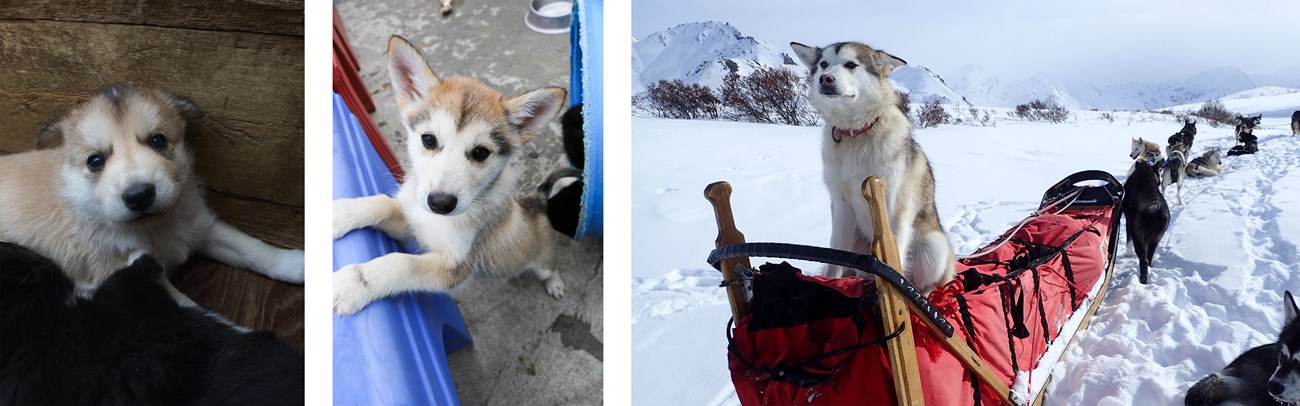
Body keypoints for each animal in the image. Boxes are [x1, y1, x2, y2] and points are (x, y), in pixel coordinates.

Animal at [0, 84, 304, 304]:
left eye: (158, 141)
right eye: (95, 161)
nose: (139, 195)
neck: (154, 228)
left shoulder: (201, 226)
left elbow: (252, 248)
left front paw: (293, 263)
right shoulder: (129, 276)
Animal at [332, 36, 566, 316]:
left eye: (480, 152)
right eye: (428, 139)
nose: (440, 203)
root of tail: (536, 202)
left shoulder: (454, 266)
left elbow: (403, 263)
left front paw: (351, 284)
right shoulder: (412, 222)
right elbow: (381, 204)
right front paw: (337, 214)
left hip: (542, 261)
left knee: (551, 267)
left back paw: (555, 284)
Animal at [785, 41, 961, 292]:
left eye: (851, 65)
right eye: (823, 64)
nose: (826, 79)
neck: (855, 133)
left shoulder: (893, 209)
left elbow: (895, 262)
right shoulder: (841, 204)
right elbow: (835, 253)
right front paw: (831, 282)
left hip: (932, 246)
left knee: (929, 284)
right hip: (858, 240)